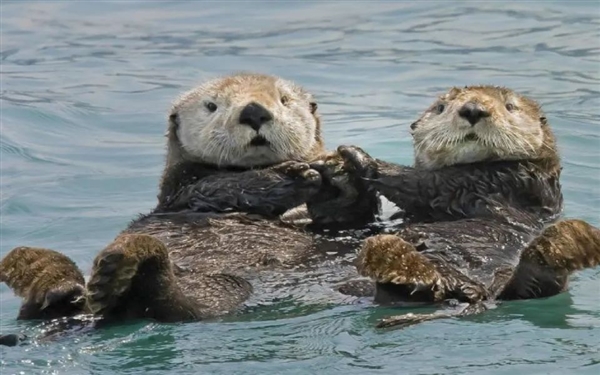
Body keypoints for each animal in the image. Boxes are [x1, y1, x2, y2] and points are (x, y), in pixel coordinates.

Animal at [0, 73, 380, 338]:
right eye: (212, 106)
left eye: (284, 100)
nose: (254, 111)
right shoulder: (184, 189)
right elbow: (224, 187)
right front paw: (293, 176)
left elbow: (344, 216)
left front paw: (344, 172)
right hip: (215, 283)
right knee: (178, 309)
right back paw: (95, 280)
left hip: (223, 286)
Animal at [332, 86, 600, 328]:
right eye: (441, 108)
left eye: (510, 106)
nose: (473, 110)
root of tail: (479, 295)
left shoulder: (496, 181)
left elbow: (420, 183)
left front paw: (356, 155)